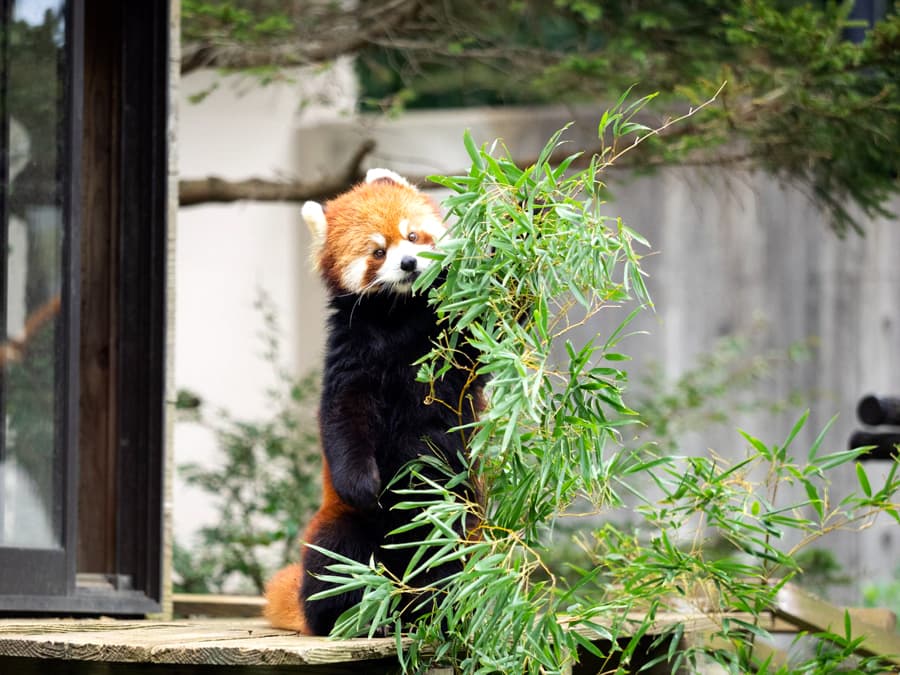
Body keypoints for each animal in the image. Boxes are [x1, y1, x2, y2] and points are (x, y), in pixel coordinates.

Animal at [264, 168, 486, 632]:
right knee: (336, 561)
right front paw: (366, 485)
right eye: (378, 252)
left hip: (452, 523)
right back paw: (354, 619)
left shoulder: (450, 339)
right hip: (339, 528)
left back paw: (436, 616)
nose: (409, 263)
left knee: (444, 560)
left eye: (414, 235)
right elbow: (342, 419)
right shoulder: (351, 353)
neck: (399, 315)